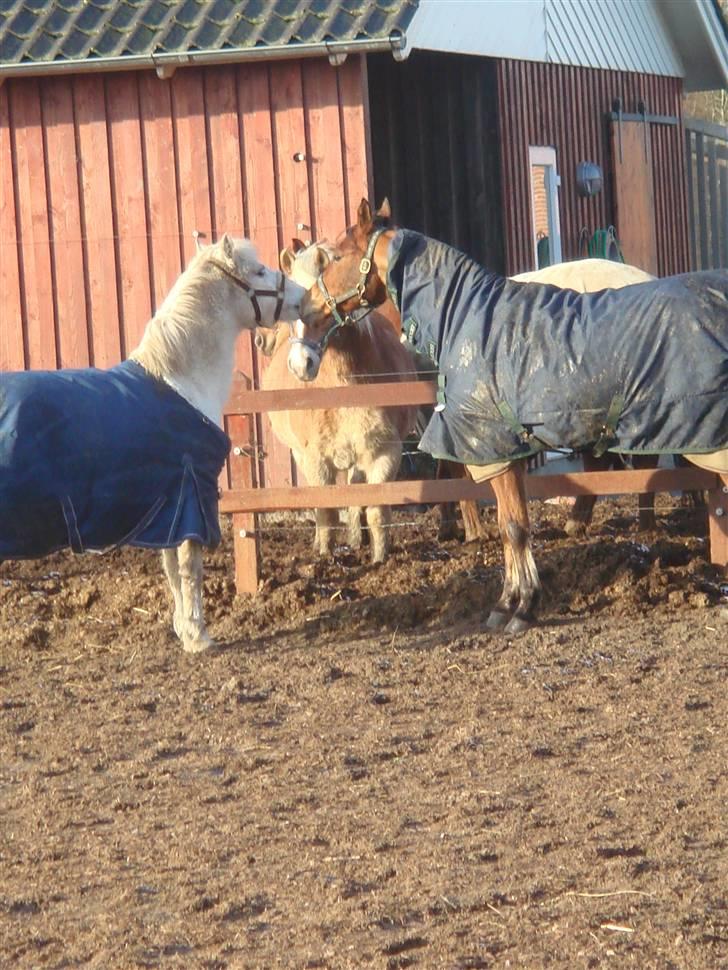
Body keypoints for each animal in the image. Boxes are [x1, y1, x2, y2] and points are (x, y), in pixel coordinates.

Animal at [0, 235, 305, 652]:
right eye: (258, 271)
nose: (303, 297)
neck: (180, 379)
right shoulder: (192, 500)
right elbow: (190, 569)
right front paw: (199, 636)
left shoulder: (170, 507)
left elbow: (172, 571)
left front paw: (184, 629)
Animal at [255, 238, 417, 564]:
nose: (300, 365)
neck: (343, 387)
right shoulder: (316, 458)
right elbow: (325, 509)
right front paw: (324, 555)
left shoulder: (384, 453)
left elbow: (377, 510)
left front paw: (380, 558)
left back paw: (357, 539)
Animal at [295, 199, 728, 634]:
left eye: (335, 258)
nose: (306, 312)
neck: (467, 319)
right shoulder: (507, 452)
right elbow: (511, 525)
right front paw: (514, 601)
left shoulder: (493, 450)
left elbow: (513, 528)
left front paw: (517, 606)